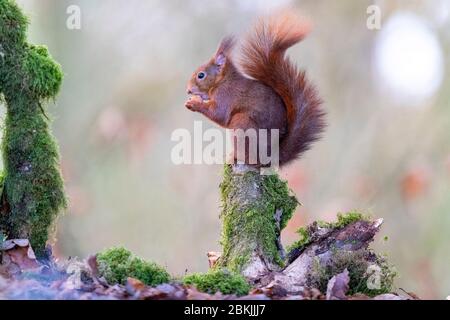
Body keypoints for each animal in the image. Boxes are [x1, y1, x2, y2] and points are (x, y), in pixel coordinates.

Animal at [185, 12, 326, 168]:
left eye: (201, 75)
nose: (188, 90)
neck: (222, 81)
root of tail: (271, 157)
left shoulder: (225, 95)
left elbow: (219, 114)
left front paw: (194, 104)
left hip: (242, 125)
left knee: (251, 160)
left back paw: (234, 157)